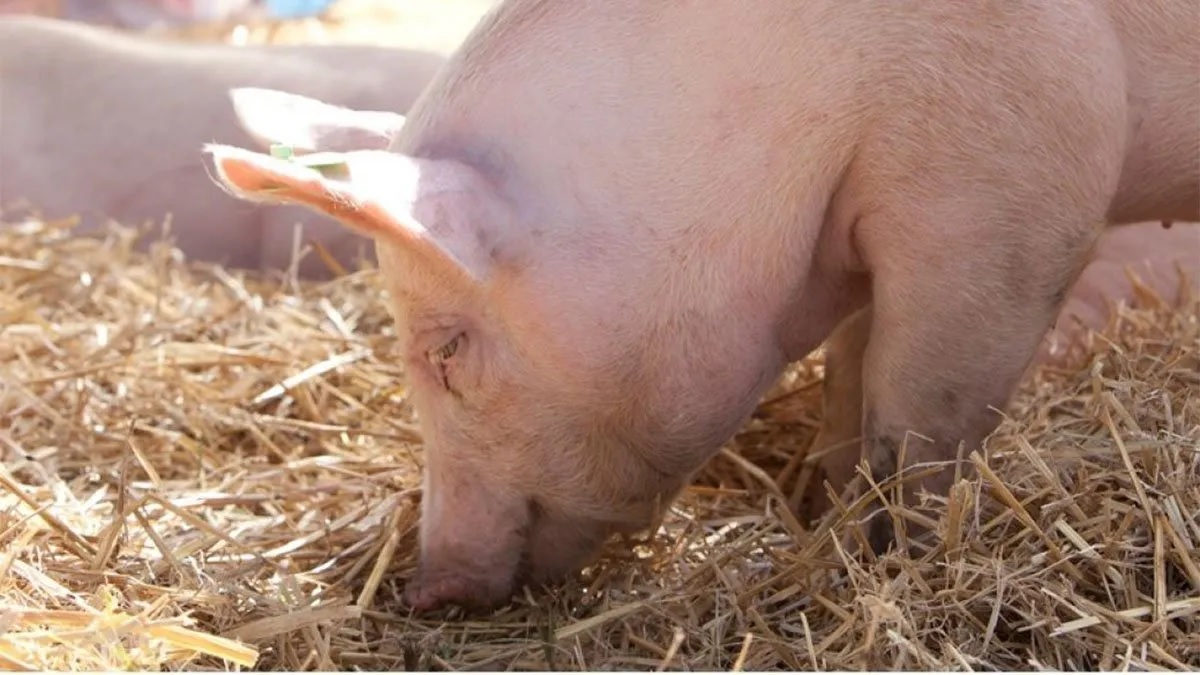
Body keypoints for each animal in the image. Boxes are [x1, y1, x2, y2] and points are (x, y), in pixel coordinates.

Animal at [204, 0, 1200, 610]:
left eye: (447, 351)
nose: (426, 584)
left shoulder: (1009, 202)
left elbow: (920, 410)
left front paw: (888, 549)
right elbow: (849, 372)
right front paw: (821, 505)